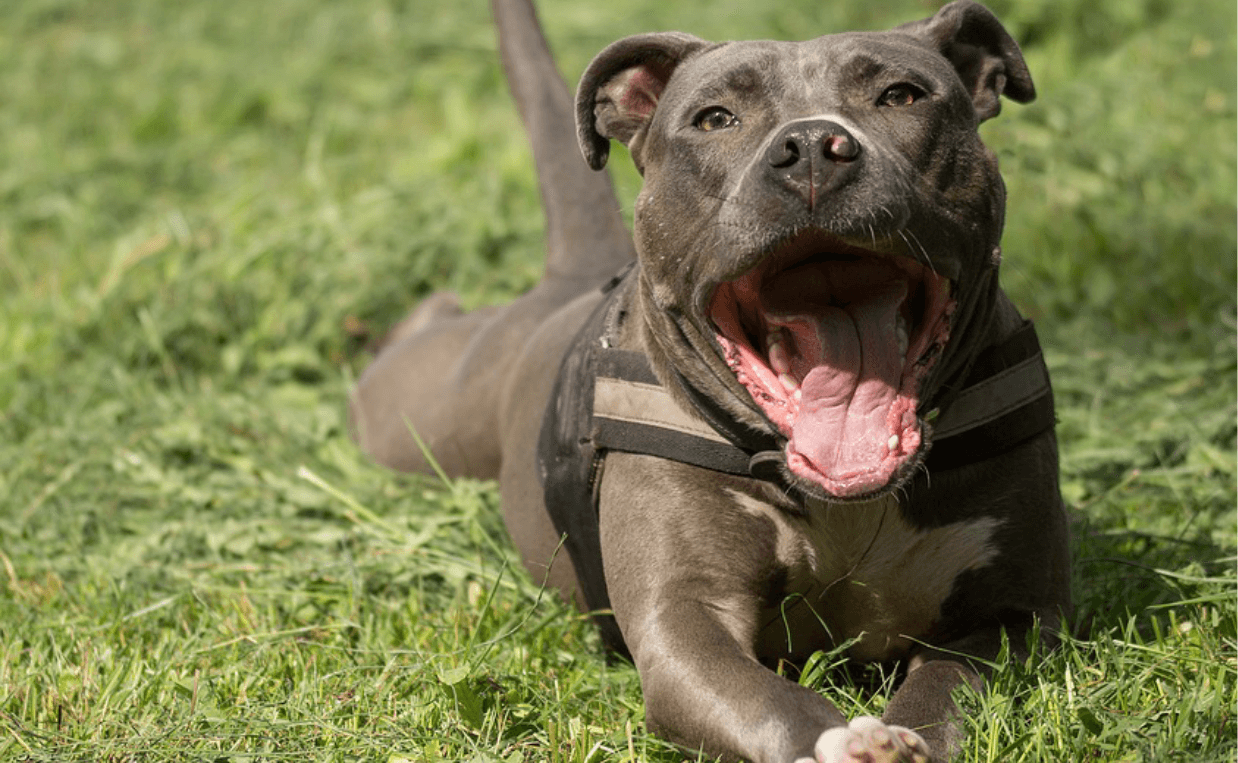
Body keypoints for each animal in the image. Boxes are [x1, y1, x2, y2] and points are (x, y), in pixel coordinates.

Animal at [351, 2, 1074, 758]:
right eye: (716, 117)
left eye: (902, 96)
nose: (812, 146)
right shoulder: (683, 622)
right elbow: (769, 701)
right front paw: (839, 740)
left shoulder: (1017, 611)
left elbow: (947, 688)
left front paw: (900, 737)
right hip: (417, 413)